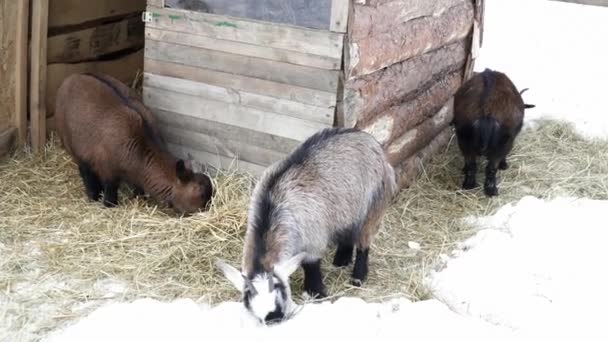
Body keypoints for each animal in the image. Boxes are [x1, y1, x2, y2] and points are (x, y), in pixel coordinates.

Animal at [54, 73, 215, 215]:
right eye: (200, 194)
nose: (207, 210)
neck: (140, 150)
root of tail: (70, 78)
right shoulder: (108, 171)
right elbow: (110, 192)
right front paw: (108, 205)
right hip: (72, 145)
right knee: (85, 170)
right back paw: (93, 195)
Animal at [216, 127, 396, 324]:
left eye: (280, 293)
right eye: (249, 300)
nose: (273, 320)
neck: (272, 205)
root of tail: (368, 138)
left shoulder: (313, 241)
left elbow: (311, 266)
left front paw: (316, 293)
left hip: (374, 205)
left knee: (364, 241)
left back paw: (358, 277)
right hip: (348, 209)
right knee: (347, 232)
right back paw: (341, 260)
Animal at [454, 68, 536, 196]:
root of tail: (486, 110)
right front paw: (504, 165)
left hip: (463, 138)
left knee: (471, 165)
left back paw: (468, 185)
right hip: (501, 145)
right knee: (491, 169)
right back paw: (491, 190)